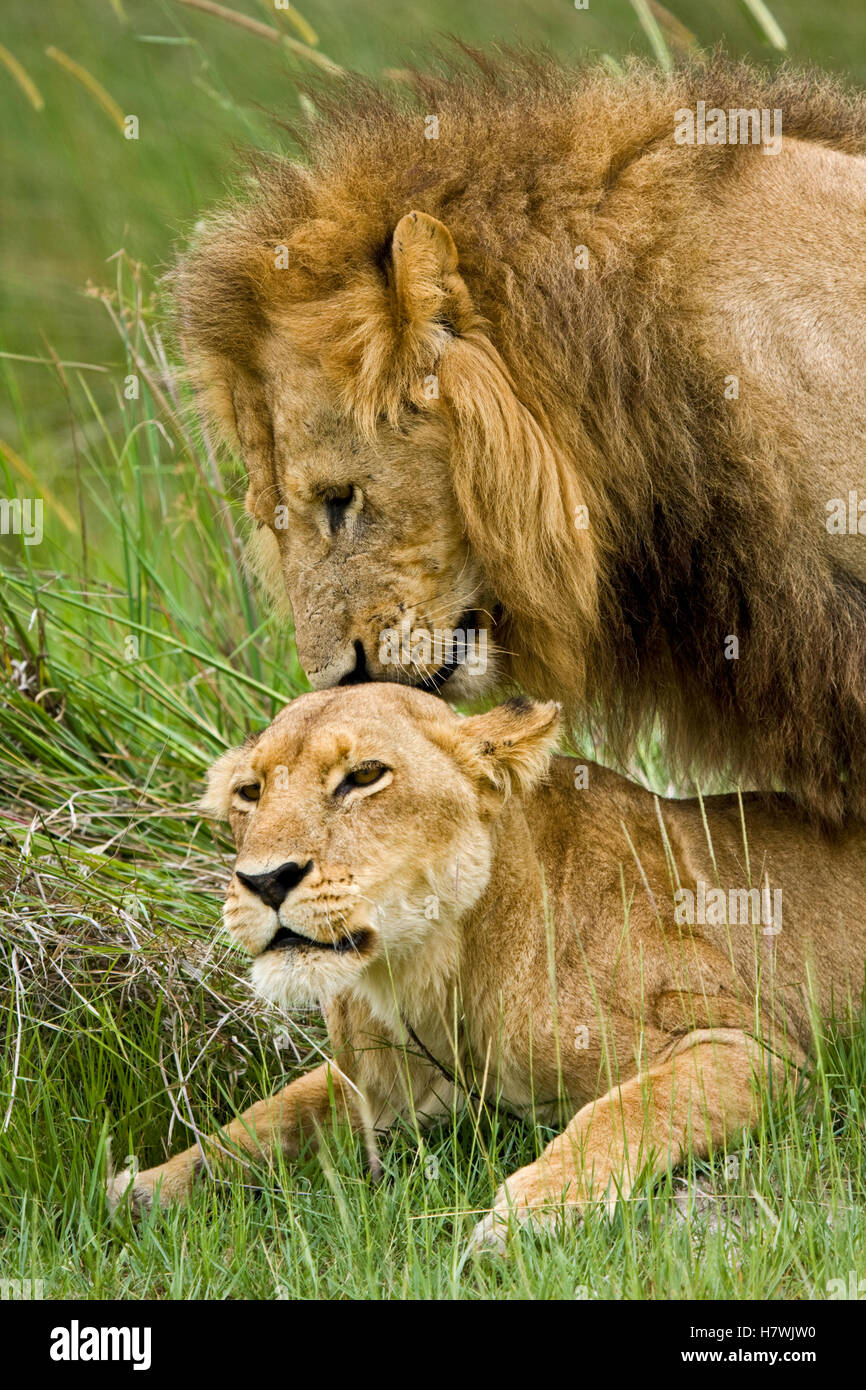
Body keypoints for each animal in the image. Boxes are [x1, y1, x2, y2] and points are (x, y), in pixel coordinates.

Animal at [109, 683, 866, 1249]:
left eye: (363, 777)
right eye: (250, 792)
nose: (264, 881)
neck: (432, 978)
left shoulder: (758, 1046)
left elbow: (626, 1111)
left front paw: (528, 1216)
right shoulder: (371, 1085)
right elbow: (266, 1119)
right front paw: (145, 1187)